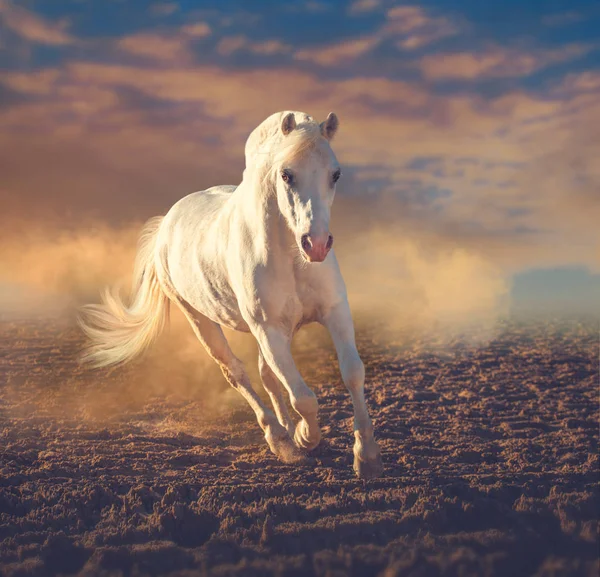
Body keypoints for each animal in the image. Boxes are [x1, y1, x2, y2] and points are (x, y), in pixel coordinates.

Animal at [78, 110, 384, 480]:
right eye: (286, 174)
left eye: (335, 174)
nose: (317, 244)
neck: (290, 257)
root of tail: (166, 224)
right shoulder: (269, 330)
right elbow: (303, 397)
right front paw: (304, 438)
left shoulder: (334, 313)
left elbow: (352, 373)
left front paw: (367, 457)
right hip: (201, 321)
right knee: (236, 373)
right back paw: (280, 439)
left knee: (267, 376)